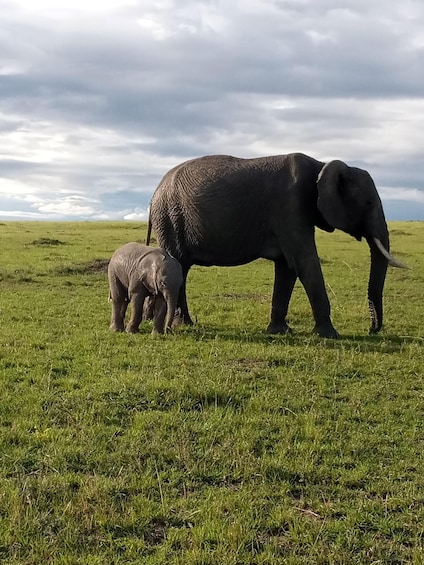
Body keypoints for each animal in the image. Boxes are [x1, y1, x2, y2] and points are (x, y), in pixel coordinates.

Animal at [147, 152, 408, 338]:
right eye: (368, 202)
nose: (372, 330)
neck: (321, 166)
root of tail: (154, 193)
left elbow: (287, 268)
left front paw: (280, 332)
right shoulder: (290, 206)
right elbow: (305, 262)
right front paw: (330, 336)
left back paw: (186, 324)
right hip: (170, 219)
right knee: (179, 266)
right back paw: (182, 325)